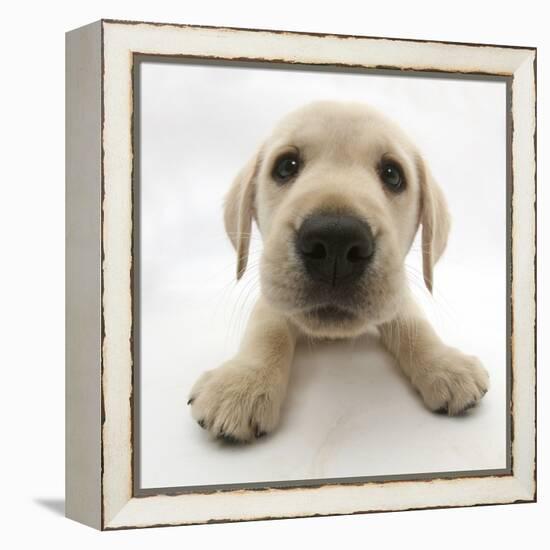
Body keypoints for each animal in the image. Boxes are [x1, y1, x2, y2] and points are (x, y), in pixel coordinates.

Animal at [188, 100, 490, 444]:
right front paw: (242, 384)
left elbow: (414, 324)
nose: (336, 241)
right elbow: (267, 329)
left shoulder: (396, 290)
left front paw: (446, 364)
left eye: (393, 174)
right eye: (286, 166)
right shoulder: (271, 294)